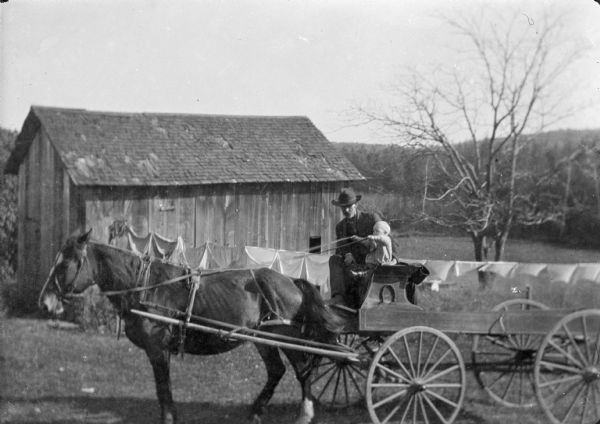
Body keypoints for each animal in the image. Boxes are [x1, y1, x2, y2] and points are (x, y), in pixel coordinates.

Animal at [39, 230, 342, 422]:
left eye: (65, 264)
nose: (45, 302)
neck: (146, 287)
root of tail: (292, 281)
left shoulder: (158, 350)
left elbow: (163, 388)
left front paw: (168, 418)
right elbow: (164, 388)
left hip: (285, 336)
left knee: (302, 371)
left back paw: (305, 413)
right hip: (262, 339)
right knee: (277, 371)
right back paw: (256, 411)